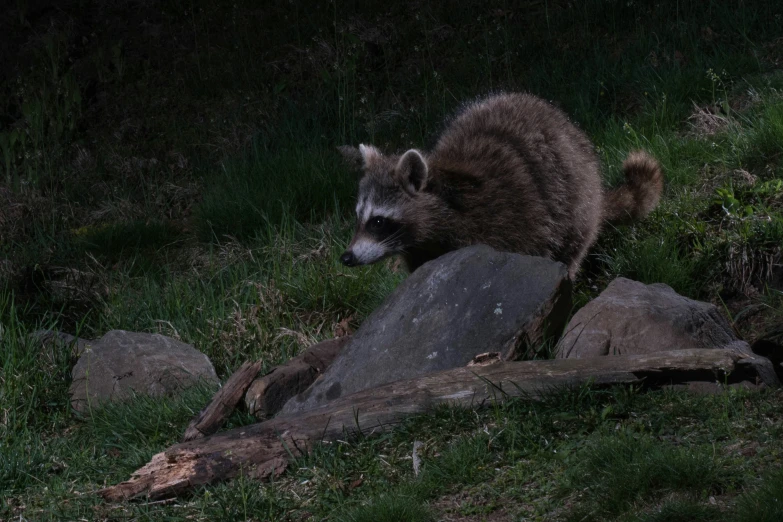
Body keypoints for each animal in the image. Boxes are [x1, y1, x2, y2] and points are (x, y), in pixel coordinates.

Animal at [336, 92, 660, 276]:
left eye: (378, 221)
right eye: (358, 217)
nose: (346, 257)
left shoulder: (506, 224)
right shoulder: (422, 254)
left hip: (576, 200)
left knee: (569, 249)